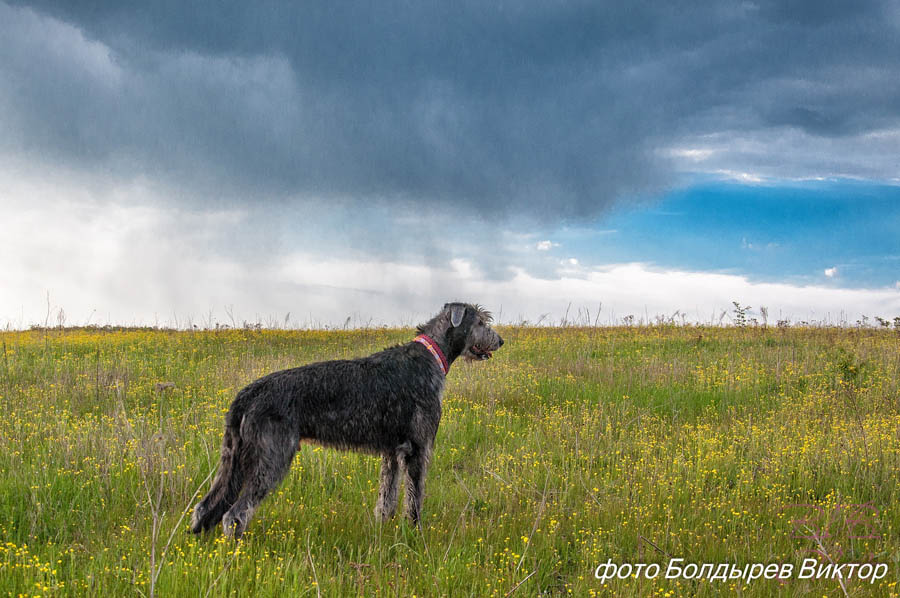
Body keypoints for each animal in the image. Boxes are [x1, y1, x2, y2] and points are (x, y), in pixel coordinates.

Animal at [189, 302, 502, 540]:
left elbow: (386, 498)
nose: (500, 340)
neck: (430, 355)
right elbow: (414, 499)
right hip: (270, 457)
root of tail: (247, 393)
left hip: (233, 457)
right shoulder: (417, 448)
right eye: (481, 321)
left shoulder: (392, 452)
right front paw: (415, 534)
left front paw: (383, 531)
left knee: (206, 507)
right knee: (235, 514)